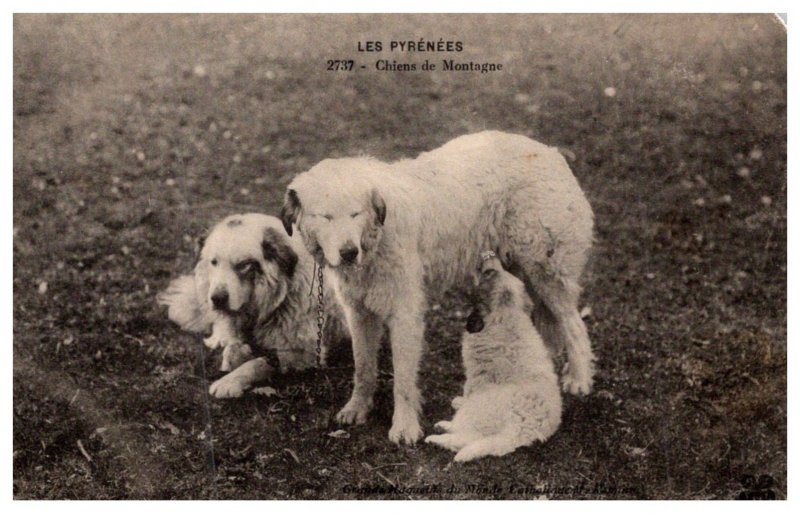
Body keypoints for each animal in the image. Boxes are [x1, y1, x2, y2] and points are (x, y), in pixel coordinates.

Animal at [158, 212, 342, 398]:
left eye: (244, 265)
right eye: (214, 262)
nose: (217, 299)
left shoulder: (301, 355)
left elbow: (258, 363)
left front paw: (229, 381)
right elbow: (232, 349)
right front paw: (234, 357)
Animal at [424, 256, 564, 462]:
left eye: (489, 274)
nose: (489, 255)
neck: (506, 315)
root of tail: (524, 428)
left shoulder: (477, 376)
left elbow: (469, 391)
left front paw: (460, 402)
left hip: (482, 410)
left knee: (465, 436)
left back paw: (440, 434)